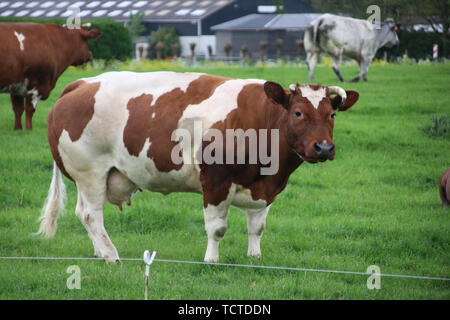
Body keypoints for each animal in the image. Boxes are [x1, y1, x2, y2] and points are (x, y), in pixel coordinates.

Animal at [36, 72, 358, 262]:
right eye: (298, 112)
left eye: (331, 115)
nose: (324, 148)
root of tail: (82, 83)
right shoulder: (216, 182)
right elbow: (217, 228)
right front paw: (211, 260)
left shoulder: (265, 188)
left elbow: (257, 226)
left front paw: (255, 258)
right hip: (90, 171)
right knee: (91, 214)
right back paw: (111, 255)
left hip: (92, 177)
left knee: (85, 213)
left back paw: (99, 251)